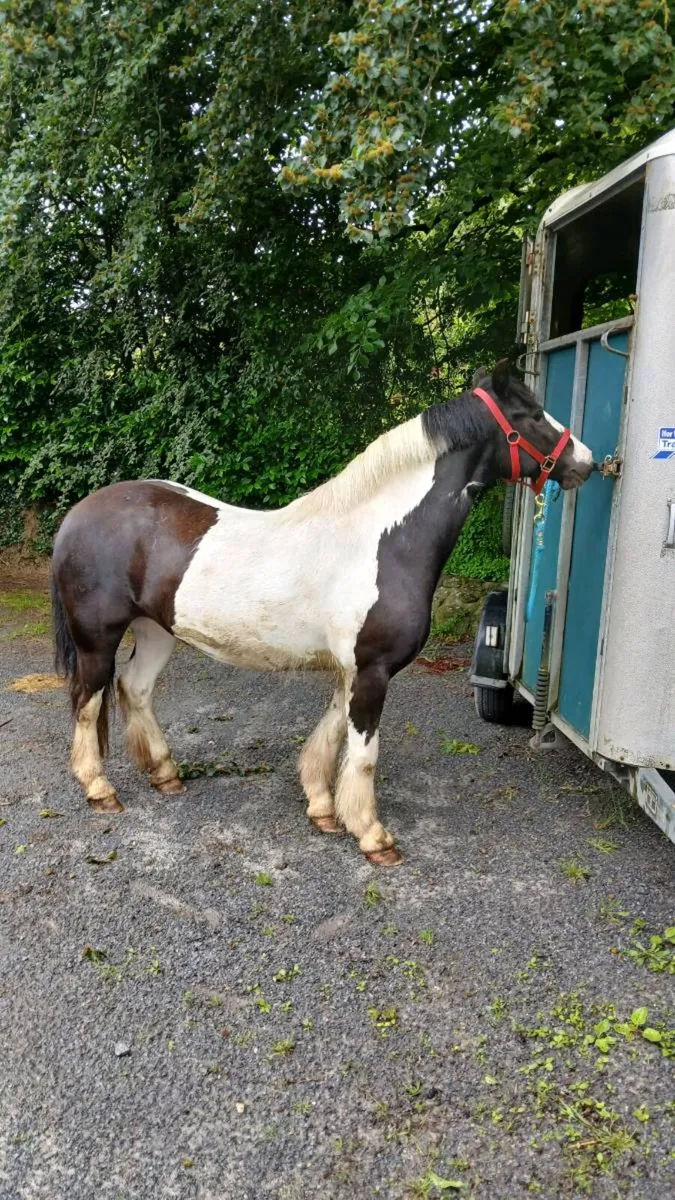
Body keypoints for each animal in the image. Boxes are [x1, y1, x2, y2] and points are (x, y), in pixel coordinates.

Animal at [50, 361, 593, 865]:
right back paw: (99, 788)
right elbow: (364, 754)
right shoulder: (372, 670)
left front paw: (323, 809)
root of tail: (78, 515)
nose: (586, 462)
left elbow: (332, 736)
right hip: (97, 638)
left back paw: (165, 774)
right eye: (531, 414)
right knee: (87, 701)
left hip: (156, 630)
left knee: (134, 689)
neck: (382, 540)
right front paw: (373, 836)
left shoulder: (351, 670)